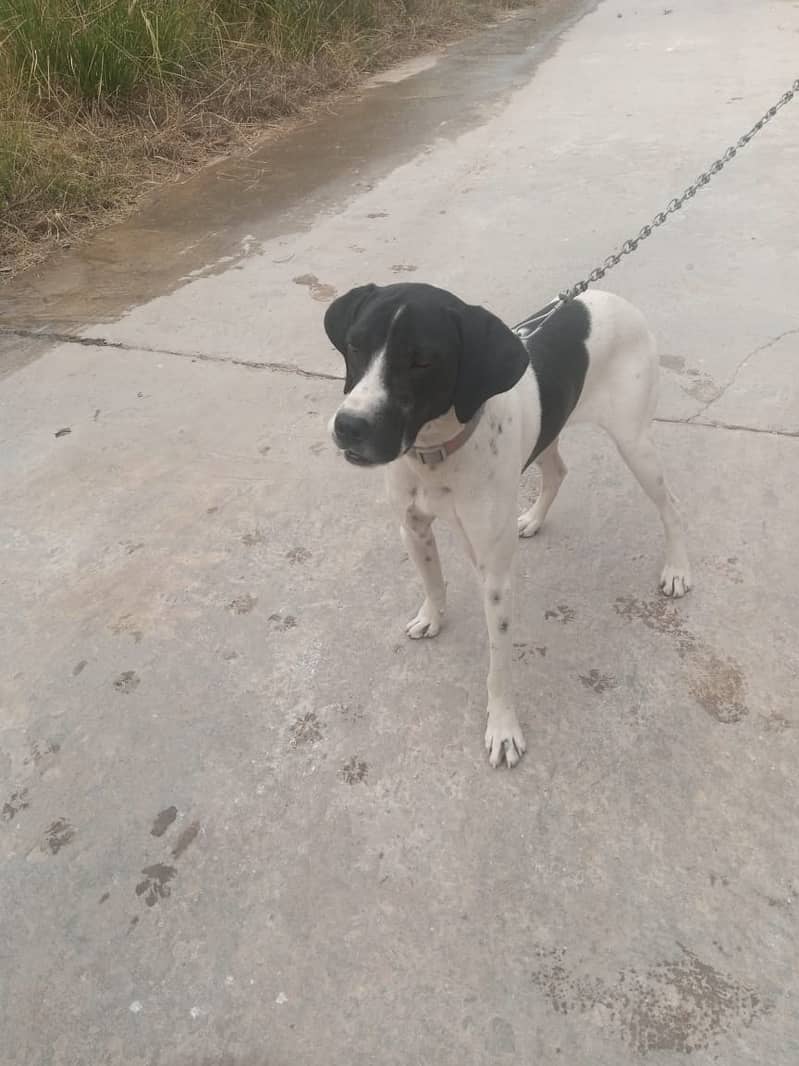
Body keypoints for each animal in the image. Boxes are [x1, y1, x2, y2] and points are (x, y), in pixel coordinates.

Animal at [325, 283, 694, 767]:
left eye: (423, 361)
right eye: (355, 346)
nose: (349, 426)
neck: (437, 454)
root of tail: (612, 296)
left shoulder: (495, 576)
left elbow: (498, 663)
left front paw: (502, 728)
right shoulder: (413, 528)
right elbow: (433, 582)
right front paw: (432, 617)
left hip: (635, 444)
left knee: (672, 506)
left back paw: (677, 569)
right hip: (551, 431)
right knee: (558, 472)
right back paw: (533, 519)